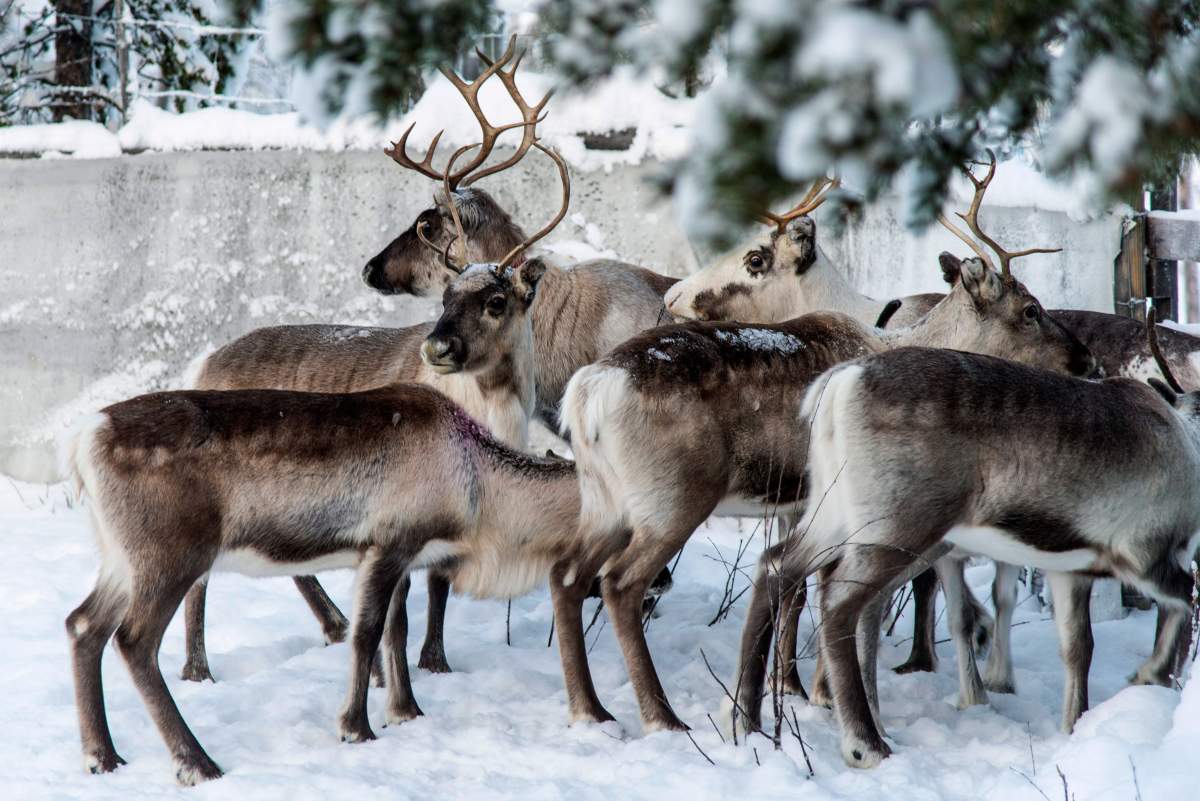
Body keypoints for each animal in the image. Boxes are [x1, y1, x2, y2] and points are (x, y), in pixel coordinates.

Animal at [179, 119, 571, 686]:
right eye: (446, 295)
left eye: (497, 301)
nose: (437, 347)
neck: (493, 412)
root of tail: (204, 363)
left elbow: (440, 581)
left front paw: (435, 663)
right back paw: (198, 669)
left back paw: (334, 626)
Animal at [553, 226, 1097, 735]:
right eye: (1030, 310)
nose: (1087, 360)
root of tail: (588, 391)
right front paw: (822, 692)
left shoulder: (800, 503)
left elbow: (799, 590)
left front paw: (797, 686)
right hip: (672, 500)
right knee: (620, 584)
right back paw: (661, 716)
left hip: (604, 501)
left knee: (567, 575)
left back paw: (590, 709)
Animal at [738, 310, 1199, 770]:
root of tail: (840, 382)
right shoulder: (1145, 554)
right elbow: (1185, 598)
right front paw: (1151, 674)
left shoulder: (1070, 569)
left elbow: (1078, 648)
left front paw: (1075, 725)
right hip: (897, 525)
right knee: (840, 601)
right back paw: (864, 743)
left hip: (833, 513)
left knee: (777, 566)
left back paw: (746, 718)